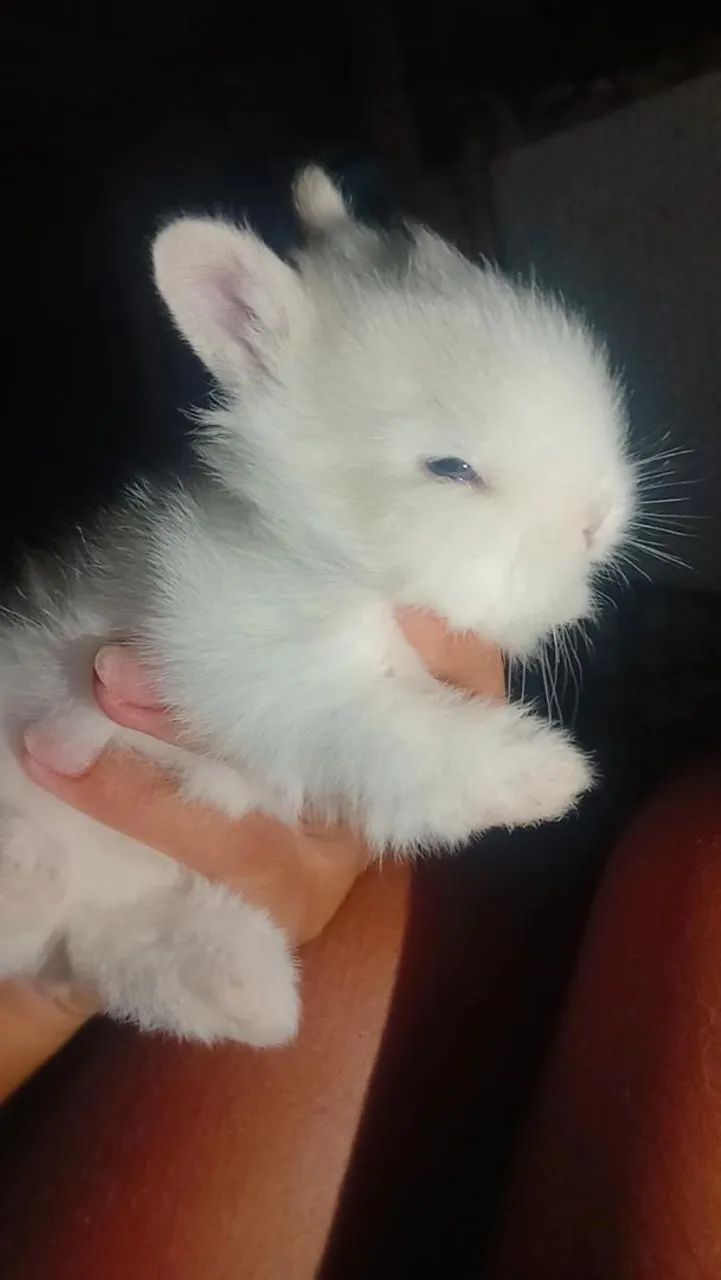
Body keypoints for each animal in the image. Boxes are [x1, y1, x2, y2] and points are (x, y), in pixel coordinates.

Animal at [0, 167, 635, 1046]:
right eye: (448, 468)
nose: (594, 519)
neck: (322, 553)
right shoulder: (268, 681)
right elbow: (405, 734)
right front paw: (545, 775)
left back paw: (252, 994)